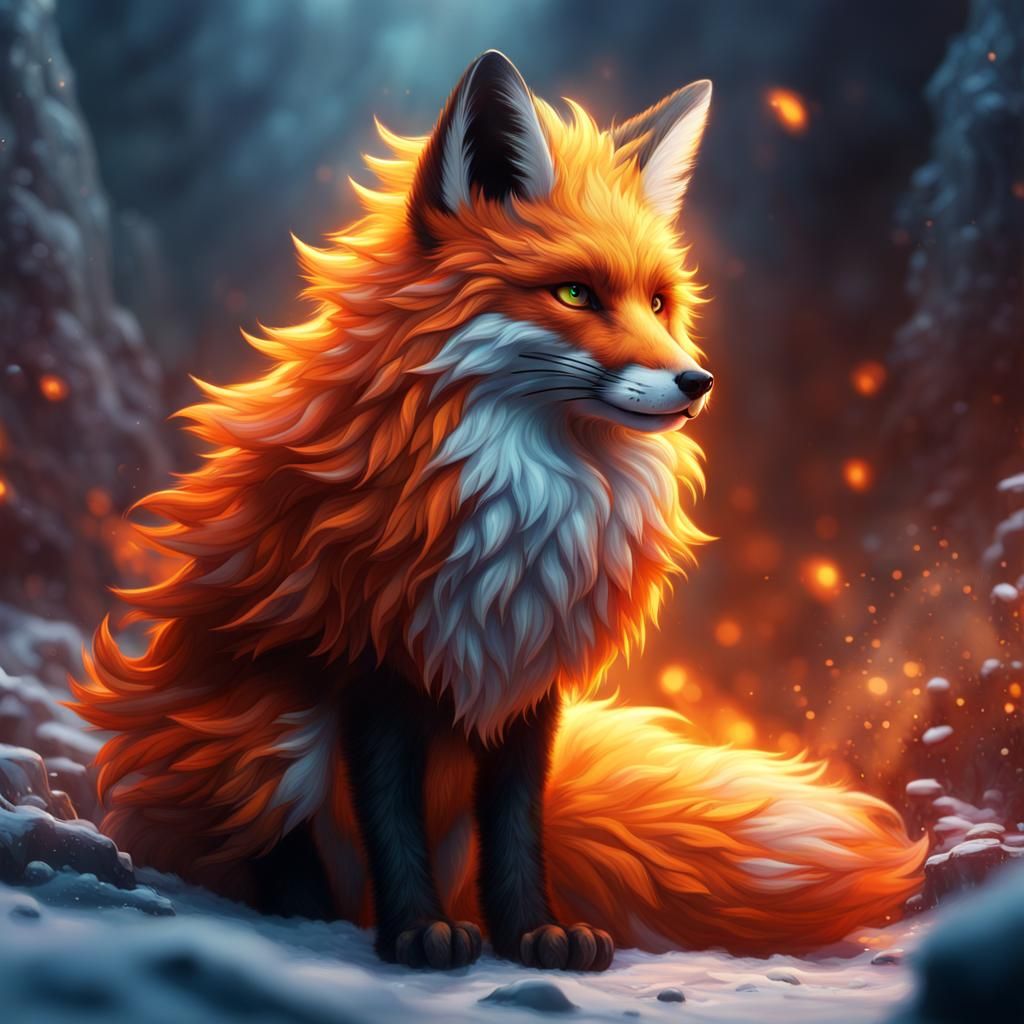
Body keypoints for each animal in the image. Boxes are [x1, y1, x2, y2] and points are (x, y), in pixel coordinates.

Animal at [72, 51, 925, 971]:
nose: (696, 383)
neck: (525, 511)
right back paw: (318, 913)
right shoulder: (371, 667)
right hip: (257, 730)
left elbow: (517, 826)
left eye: (659, 301)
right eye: (576, 294)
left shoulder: (526, 679)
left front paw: (535, 933)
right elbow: (390, 819)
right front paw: (417, 933)